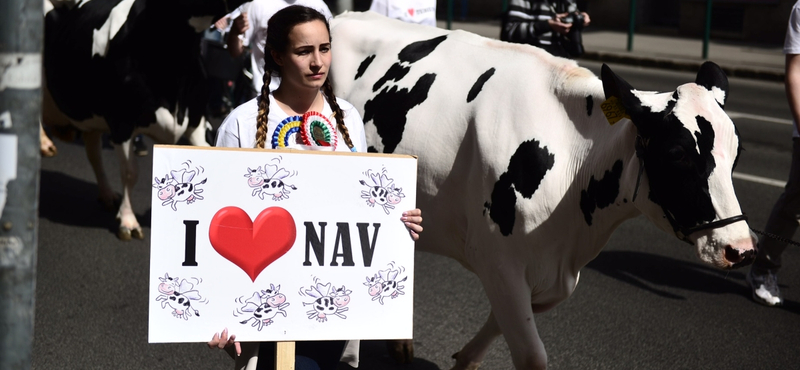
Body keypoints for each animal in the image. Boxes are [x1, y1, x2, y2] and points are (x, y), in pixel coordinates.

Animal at [40, 0, 245, 240]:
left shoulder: (197, 119)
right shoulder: (122, 123)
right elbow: (130, 173)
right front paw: (128, 222)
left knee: (93, 153)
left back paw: (107, 195)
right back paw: (45, 144)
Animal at [330, 11, 756, 370]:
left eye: (738, 153)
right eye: (677, 153)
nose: (741, 249)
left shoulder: (552, 275)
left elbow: (498, 328)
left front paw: (465, 357)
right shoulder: (496, 258)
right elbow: (531, 354)